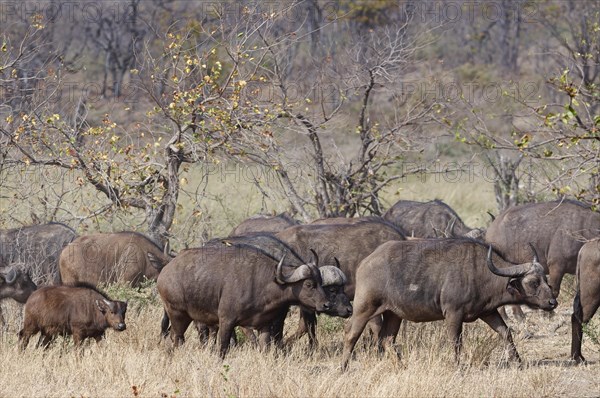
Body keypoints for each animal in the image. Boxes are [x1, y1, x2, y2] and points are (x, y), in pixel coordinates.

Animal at [157, 243, 330, 358]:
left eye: (320, 281)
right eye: (308, 284)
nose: (326, 304)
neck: (264, 283)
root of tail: (165, 271)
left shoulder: (264, 325)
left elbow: (265, 348)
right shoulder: (226, 321)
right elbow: (223, 348)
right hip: (177, 315)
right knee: (176, 338)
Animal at [342, 236, 556, 370]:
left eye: (545, 279)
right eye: (533, 282)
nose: (553, 302)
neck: (480, 273)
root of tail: (365, 263)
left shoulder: (488, 312)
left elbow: (506, 332)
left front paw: (518, 361)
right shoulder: (453, 314)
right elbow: (456, 341)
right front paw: (458, 366)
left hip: (394, 314)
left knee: (387, 340)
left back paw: (402, 366)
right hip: (363, 308)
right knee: (351, 335)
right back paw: (343, 367)